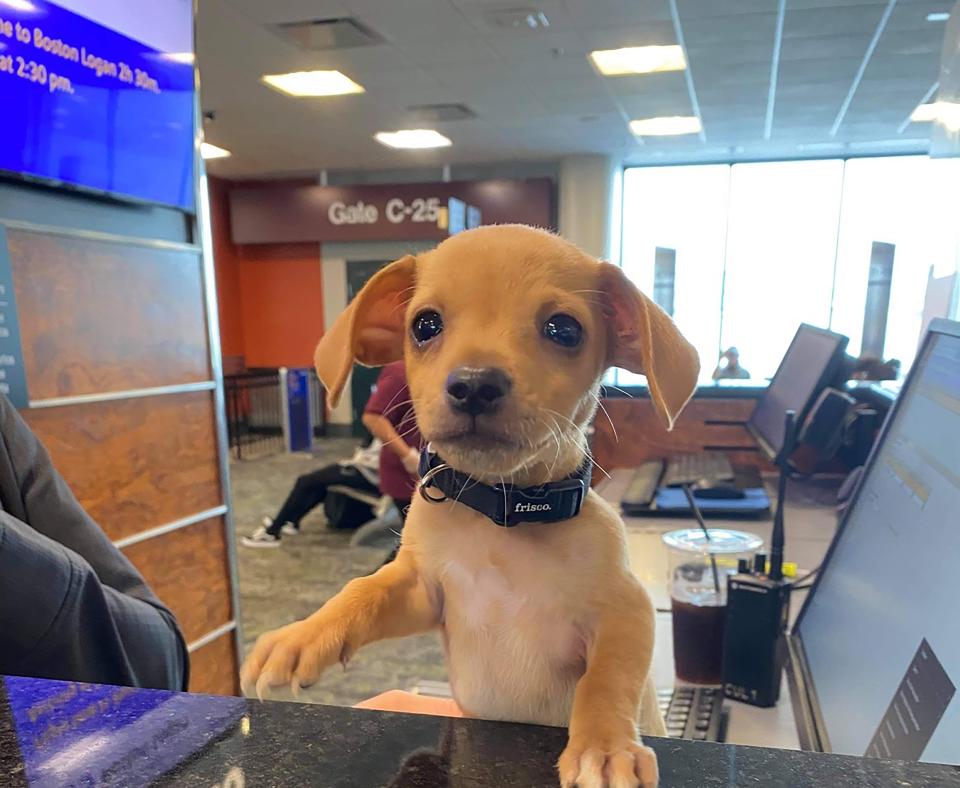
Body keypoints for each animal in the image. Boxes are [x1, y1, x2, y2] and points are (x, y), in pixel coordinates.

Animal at [242, 225, 696, 784]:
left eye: (564, 329)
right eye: (425, 324)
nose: (475, 384)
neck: (504, 517)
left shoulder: (626, 609)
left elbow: (607, 679)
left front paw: (605, 747)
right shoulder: (423, 591)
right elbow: (362, 591)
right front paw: (304, 636)